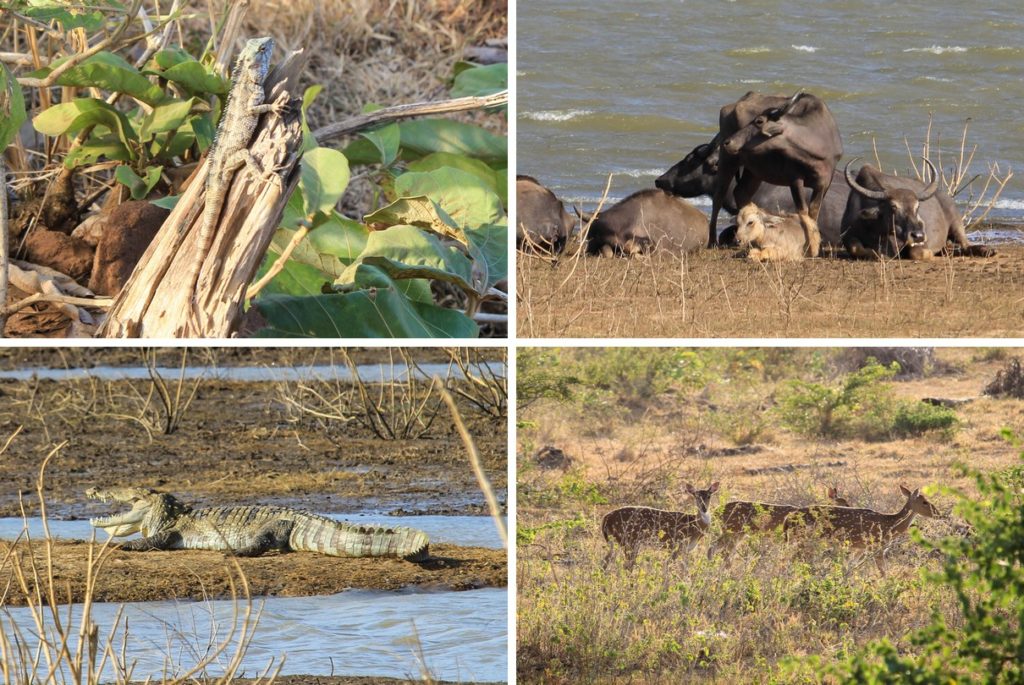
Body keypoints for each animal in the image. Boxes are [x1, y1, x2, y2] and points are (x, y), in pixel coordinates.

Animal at [708, 90, 843, 255]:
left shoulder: (824, 182)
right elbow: (803, 212)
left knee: (740, 192)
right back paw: (712, 241)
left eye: (759, 121)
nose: (728, 142)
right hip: (729, 160)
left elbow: (813, 212)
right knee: (718, 197)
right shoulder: (795, 179)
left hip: (754, 171)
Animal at [708, 483, 851, 557]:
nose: (851, 508)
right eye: (843, 503)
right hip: (732, 530)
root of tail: (716, 512)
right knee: (718, 548)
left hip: (738, 533)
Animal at [782, 483, 942, 573]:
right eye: (924, 502)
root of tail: (787, 519)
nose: (938, 513)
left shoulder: (860, 548)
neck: (890, 526)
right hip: (803, 539)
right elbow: (883, 572)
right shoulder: (876, 546)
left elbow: (850, 566)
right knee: (792, 558)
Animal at [839, 158, 991, 260]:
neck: (873, 227)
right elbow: (857, 248)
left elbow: (918, 253)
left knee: (965, 244)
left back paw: (986, 250)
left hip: (956, 222)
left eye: (917, 207)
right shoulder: (847, 235)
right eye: (893, 206)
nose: (918, 235)